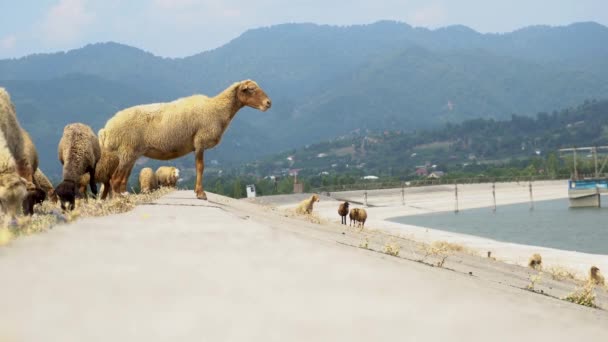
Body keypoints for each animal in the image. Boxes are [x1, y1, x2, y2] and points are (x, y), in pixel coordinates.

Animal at [101, 79, 270, 199]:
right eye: (251, 89)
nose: (269, 103)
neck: (216, 110)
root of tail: (107, 129)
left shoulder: (197, 144)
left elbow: (198, 167)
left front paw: (198, 191)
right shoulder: (200, 141)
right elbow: (200, 167)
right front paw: (201, 194)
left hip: (130, 152)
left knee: (119, 178)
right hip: (127, 150)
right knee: (114, 179)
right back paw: (118, 199)